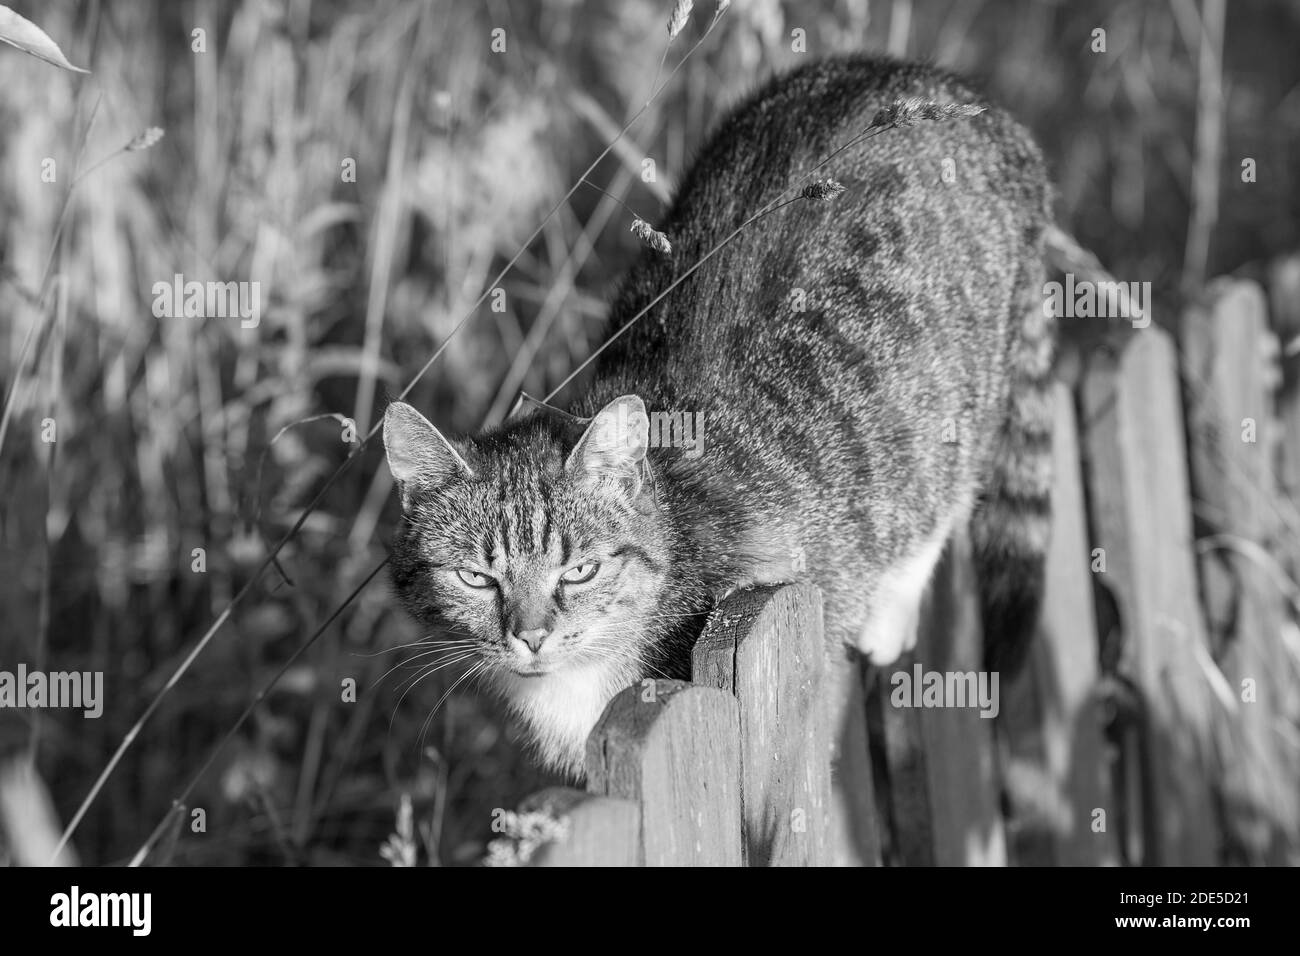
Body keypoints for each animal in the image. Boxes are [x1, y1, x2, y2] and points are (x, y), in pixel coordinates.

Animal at [379, 54, 1050, 780]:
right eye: (476, 578)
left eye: (579, 570)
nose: (530, 636)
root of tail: (940, 84)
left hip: (959, 400)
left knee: (947, 491)